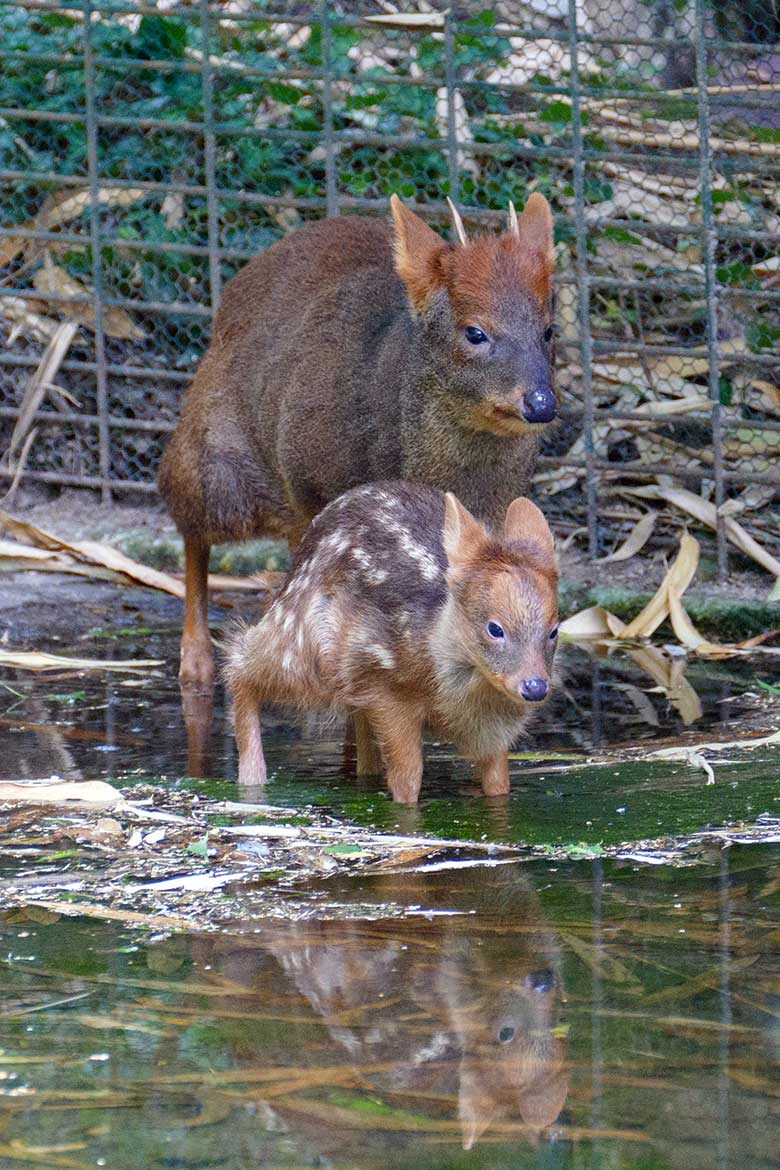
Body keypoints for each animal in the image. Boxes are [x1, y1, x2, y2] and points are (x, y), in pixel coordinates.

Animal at [160, 191, 554, 683]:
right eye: (475, 332)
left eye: (548, 330)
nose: (541, 403)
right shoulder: (308, 485)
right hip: (219, 471)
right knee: (189, 522)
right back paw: (195, 660)